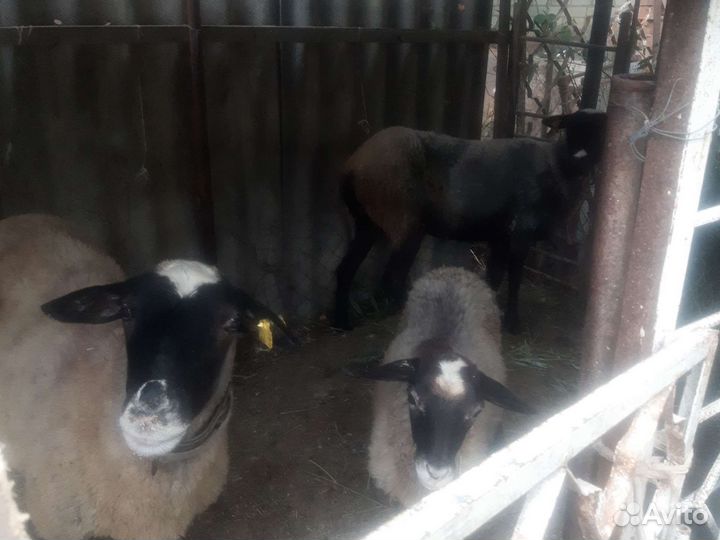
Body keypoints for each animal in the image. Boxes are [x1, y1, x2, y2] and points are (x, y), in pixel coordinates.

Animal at [333, 110, 607, 332]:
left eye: (601, 129)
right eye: (570, 128)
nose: (579, 158)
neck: (558, 166)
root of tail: (353, 165)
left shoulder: (500, 235)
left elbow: (494, 276)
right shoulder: (522, 230)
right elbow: (515, 277)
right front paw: (512, 324)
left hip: (367, 222)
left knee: (346, 268)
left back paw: (342, 323)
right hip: (404, 221)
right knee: (390, 278)